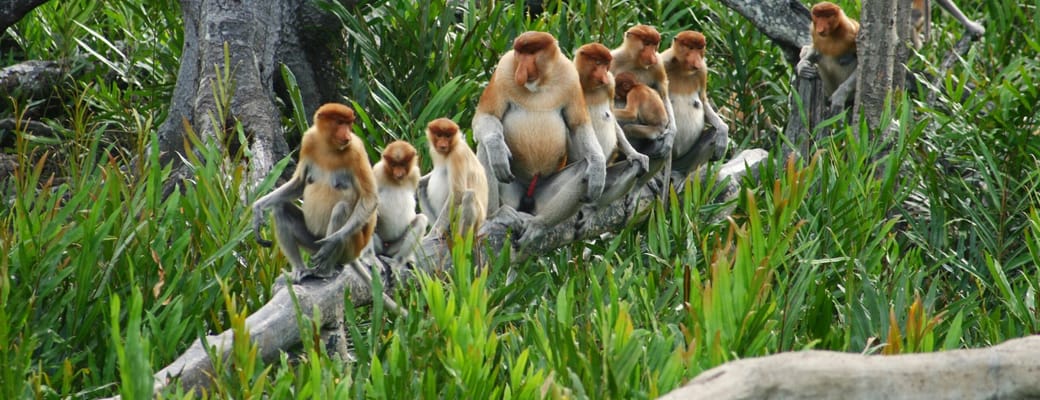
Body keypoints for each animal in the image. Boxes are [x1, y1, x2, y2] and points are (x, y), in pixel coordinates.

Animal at [252, 103, 378, 282]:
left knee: (341, 209)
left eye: (348, 124)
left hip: (351, 247)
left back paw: (324, 270)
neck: (329, 145)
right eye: (340, 122)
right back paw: (300, 269)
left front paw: (331, 243)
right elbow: (299, 183)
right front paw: (257, 209)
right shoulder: (309, 140)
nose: (347, 134)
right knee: (280, 208)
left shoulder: (356, 150)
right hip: (312, 244)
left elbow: (369, 197)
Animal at [473, 31, 607, 246]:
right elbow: (486, 116)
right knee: (486, 149)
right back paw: (497, 215)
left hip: (542, 196)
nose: (520, 70)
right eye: (520, 53)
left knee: (583, 170)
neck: (540, 83)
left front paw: (598, 166)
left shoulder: (570, 76)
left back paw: (538, 224)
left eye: (531, 52)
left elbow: (578, 125)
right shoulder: (504, 69)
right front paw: (497, 149)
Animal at [661, 30, 730, 175]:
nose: (697, 59)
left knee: (713, 133)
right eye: (690, 48)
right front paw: (670, 135)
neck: (682, 68)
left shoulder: (703, 70)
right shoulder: (662, 62)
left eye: (699, 48)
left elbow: (703, 101)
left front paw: (723, 130)